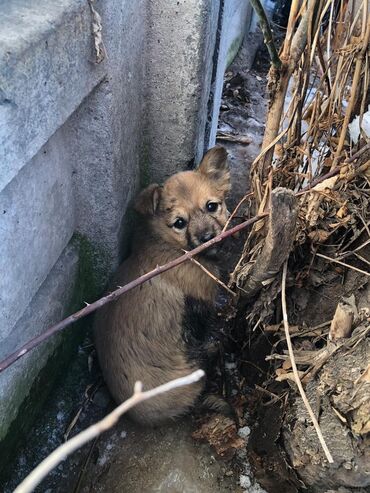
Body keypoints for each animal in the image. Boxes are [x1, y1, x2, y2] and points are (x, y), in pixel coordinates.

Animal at [94, 145, 230, 422]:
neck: (169, 245)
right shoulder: (205, 299)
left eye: (212, 206)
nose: (208, 238)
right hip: (193, 374)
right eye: (179, 223)